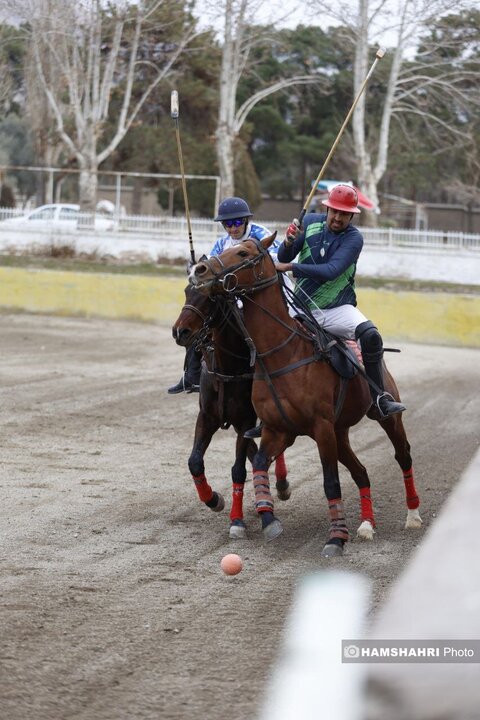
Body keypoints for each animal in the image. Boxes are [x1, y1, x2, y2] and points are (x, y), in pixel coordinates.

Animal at [174, 284, 290, 536]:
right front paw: (213, 499)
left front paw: (236, 521)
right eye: (186, 290)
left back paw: (281, 484)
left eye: (210, 298)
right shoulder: (207, 417)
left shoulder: (246, 420)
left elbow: (238, 470)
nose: (179, 331)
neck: (228, 367)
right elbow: (194, 461)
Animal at [189, 235, 422, 556]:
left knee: (403, 455)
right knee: (361, 471)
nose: (198, 270)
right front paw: (268, 518)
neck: (281, 355)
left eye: (243, 253)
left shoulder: (320, 428)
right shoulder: (278, 430)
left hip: (384, 418)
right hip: (340, 433)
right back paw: (366, 525)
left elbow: (331, 483)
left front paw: (336, 538)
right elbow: (258, 464)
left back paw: (412, 515)